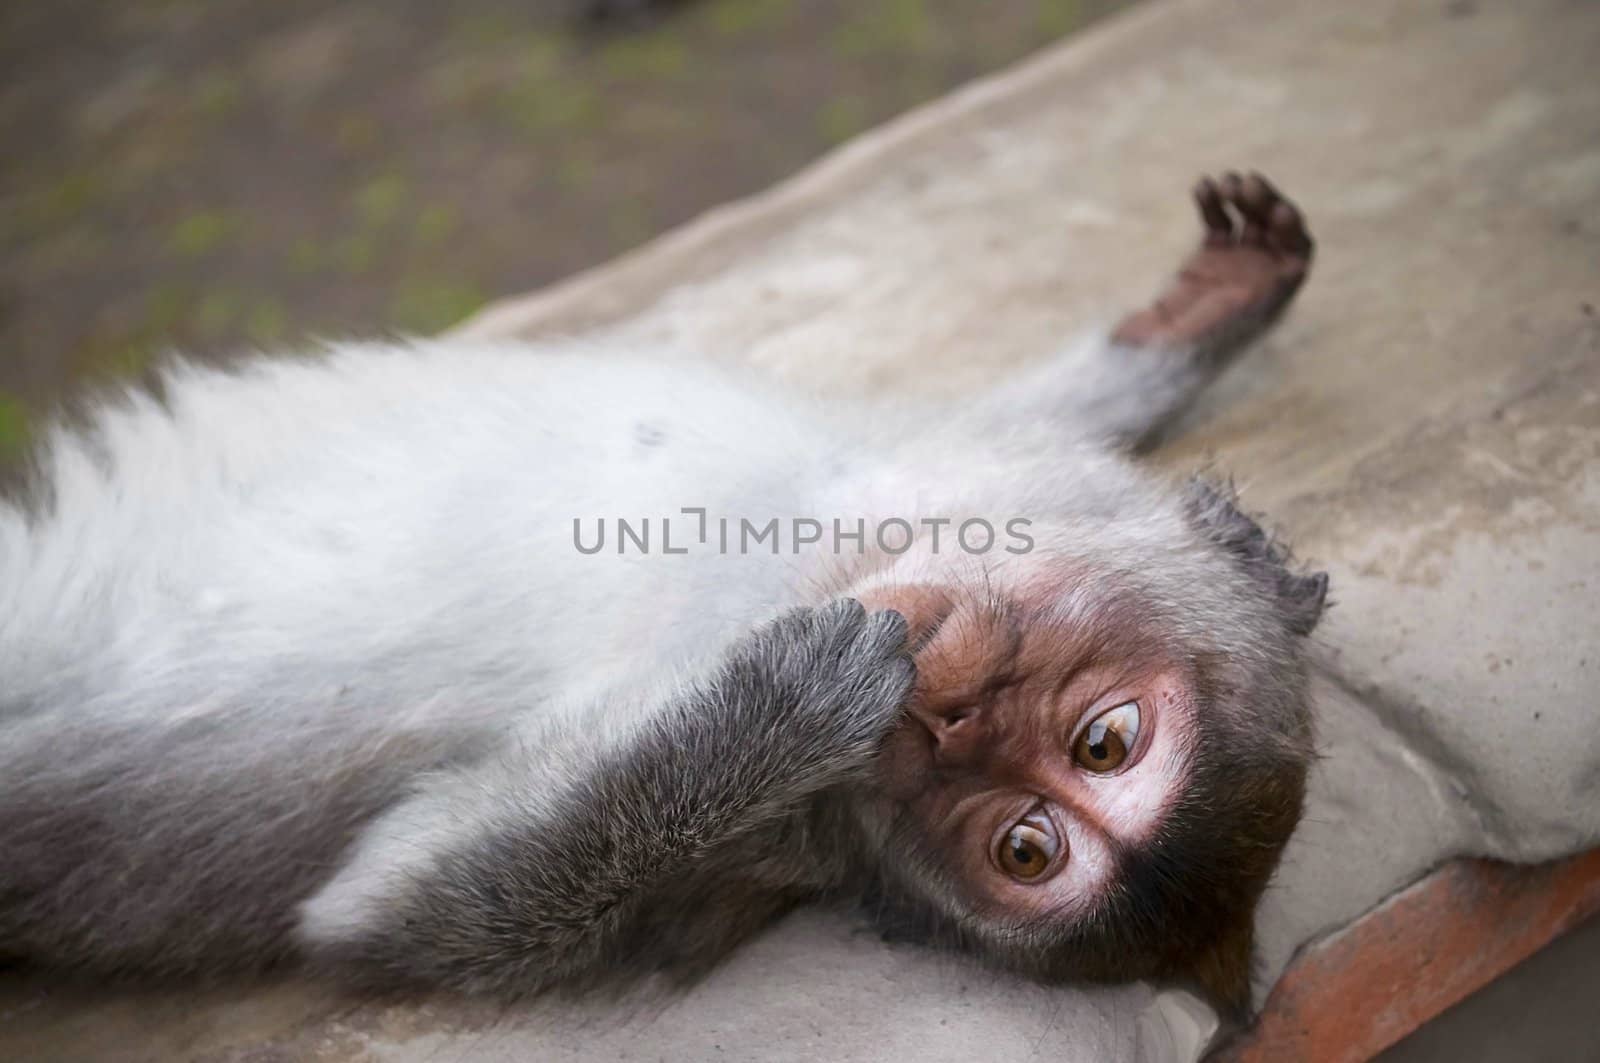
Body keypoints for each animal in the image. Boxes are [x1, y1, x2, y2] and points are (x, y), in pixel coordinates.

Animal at [0, 172, 1324, 1011]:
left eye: (1022, 846)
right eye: (1108, 741)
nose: (949, 727)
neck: (820, 562)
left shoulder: (765, 863)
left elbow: (384, 906)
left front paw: (763, 726)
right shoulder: (949, 477)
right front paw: (1197, 319)